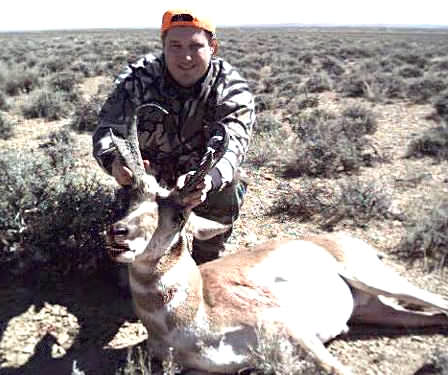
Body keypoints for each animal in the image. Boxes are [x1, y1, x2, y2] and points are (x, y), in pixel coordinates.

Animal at [105, 124, 448, 375]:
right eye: (131, 202)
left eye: (179, 216)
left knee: (438, 301)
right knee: (431, 316)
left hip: (376, 278)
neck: (194, 308)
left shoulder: (293, 329)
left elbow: (339, 370)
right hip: (377, 308)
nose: (118, 233)